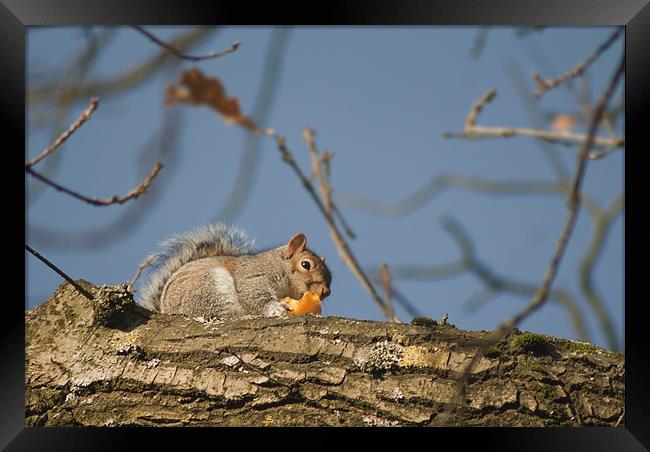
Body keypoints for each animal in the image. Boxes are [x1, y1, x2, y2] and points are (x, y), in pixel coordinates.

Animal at [135, 224, 330, 320]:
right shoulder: (254, 275)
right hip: (209, 289)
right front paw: (276, 308)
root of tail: (165, 309)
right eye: (306, 265)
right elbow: (254, 294)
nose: (325, 292)